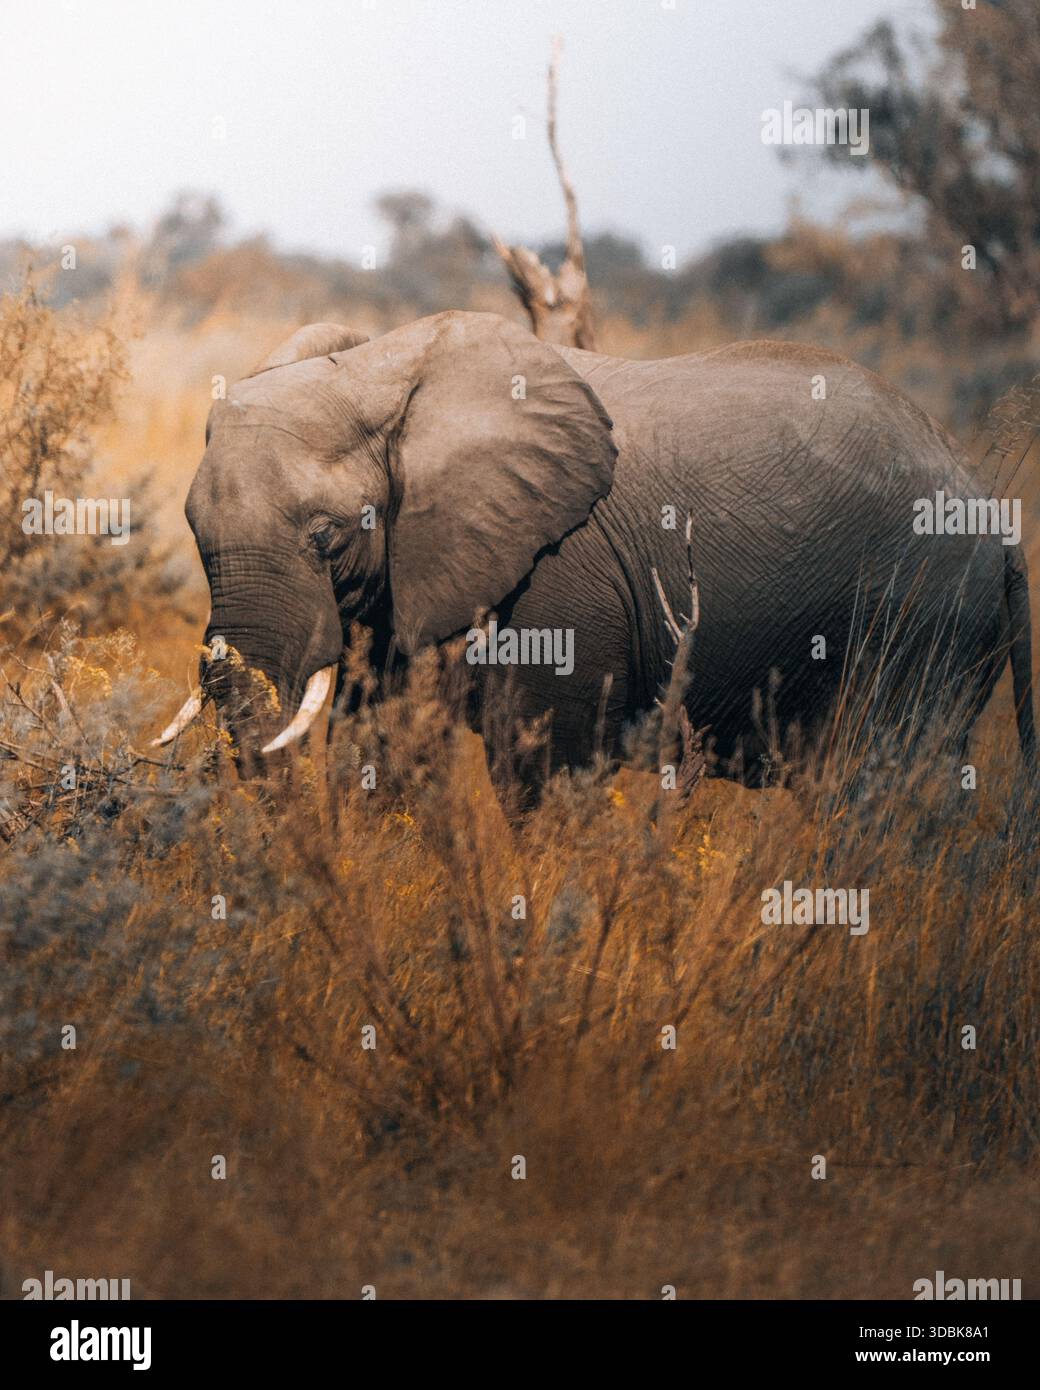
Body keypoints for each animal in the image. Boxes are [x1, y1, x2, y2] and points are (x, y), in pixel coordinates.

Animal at [156, 310, 1035, 802]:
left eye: (328, 536)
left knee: (883, 787)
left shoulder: (559, 572)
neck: (384, 366)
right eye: (195, 534)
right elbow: (385, 742)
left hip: (919, 617)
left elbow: (541, 765)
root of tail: (989, 507)